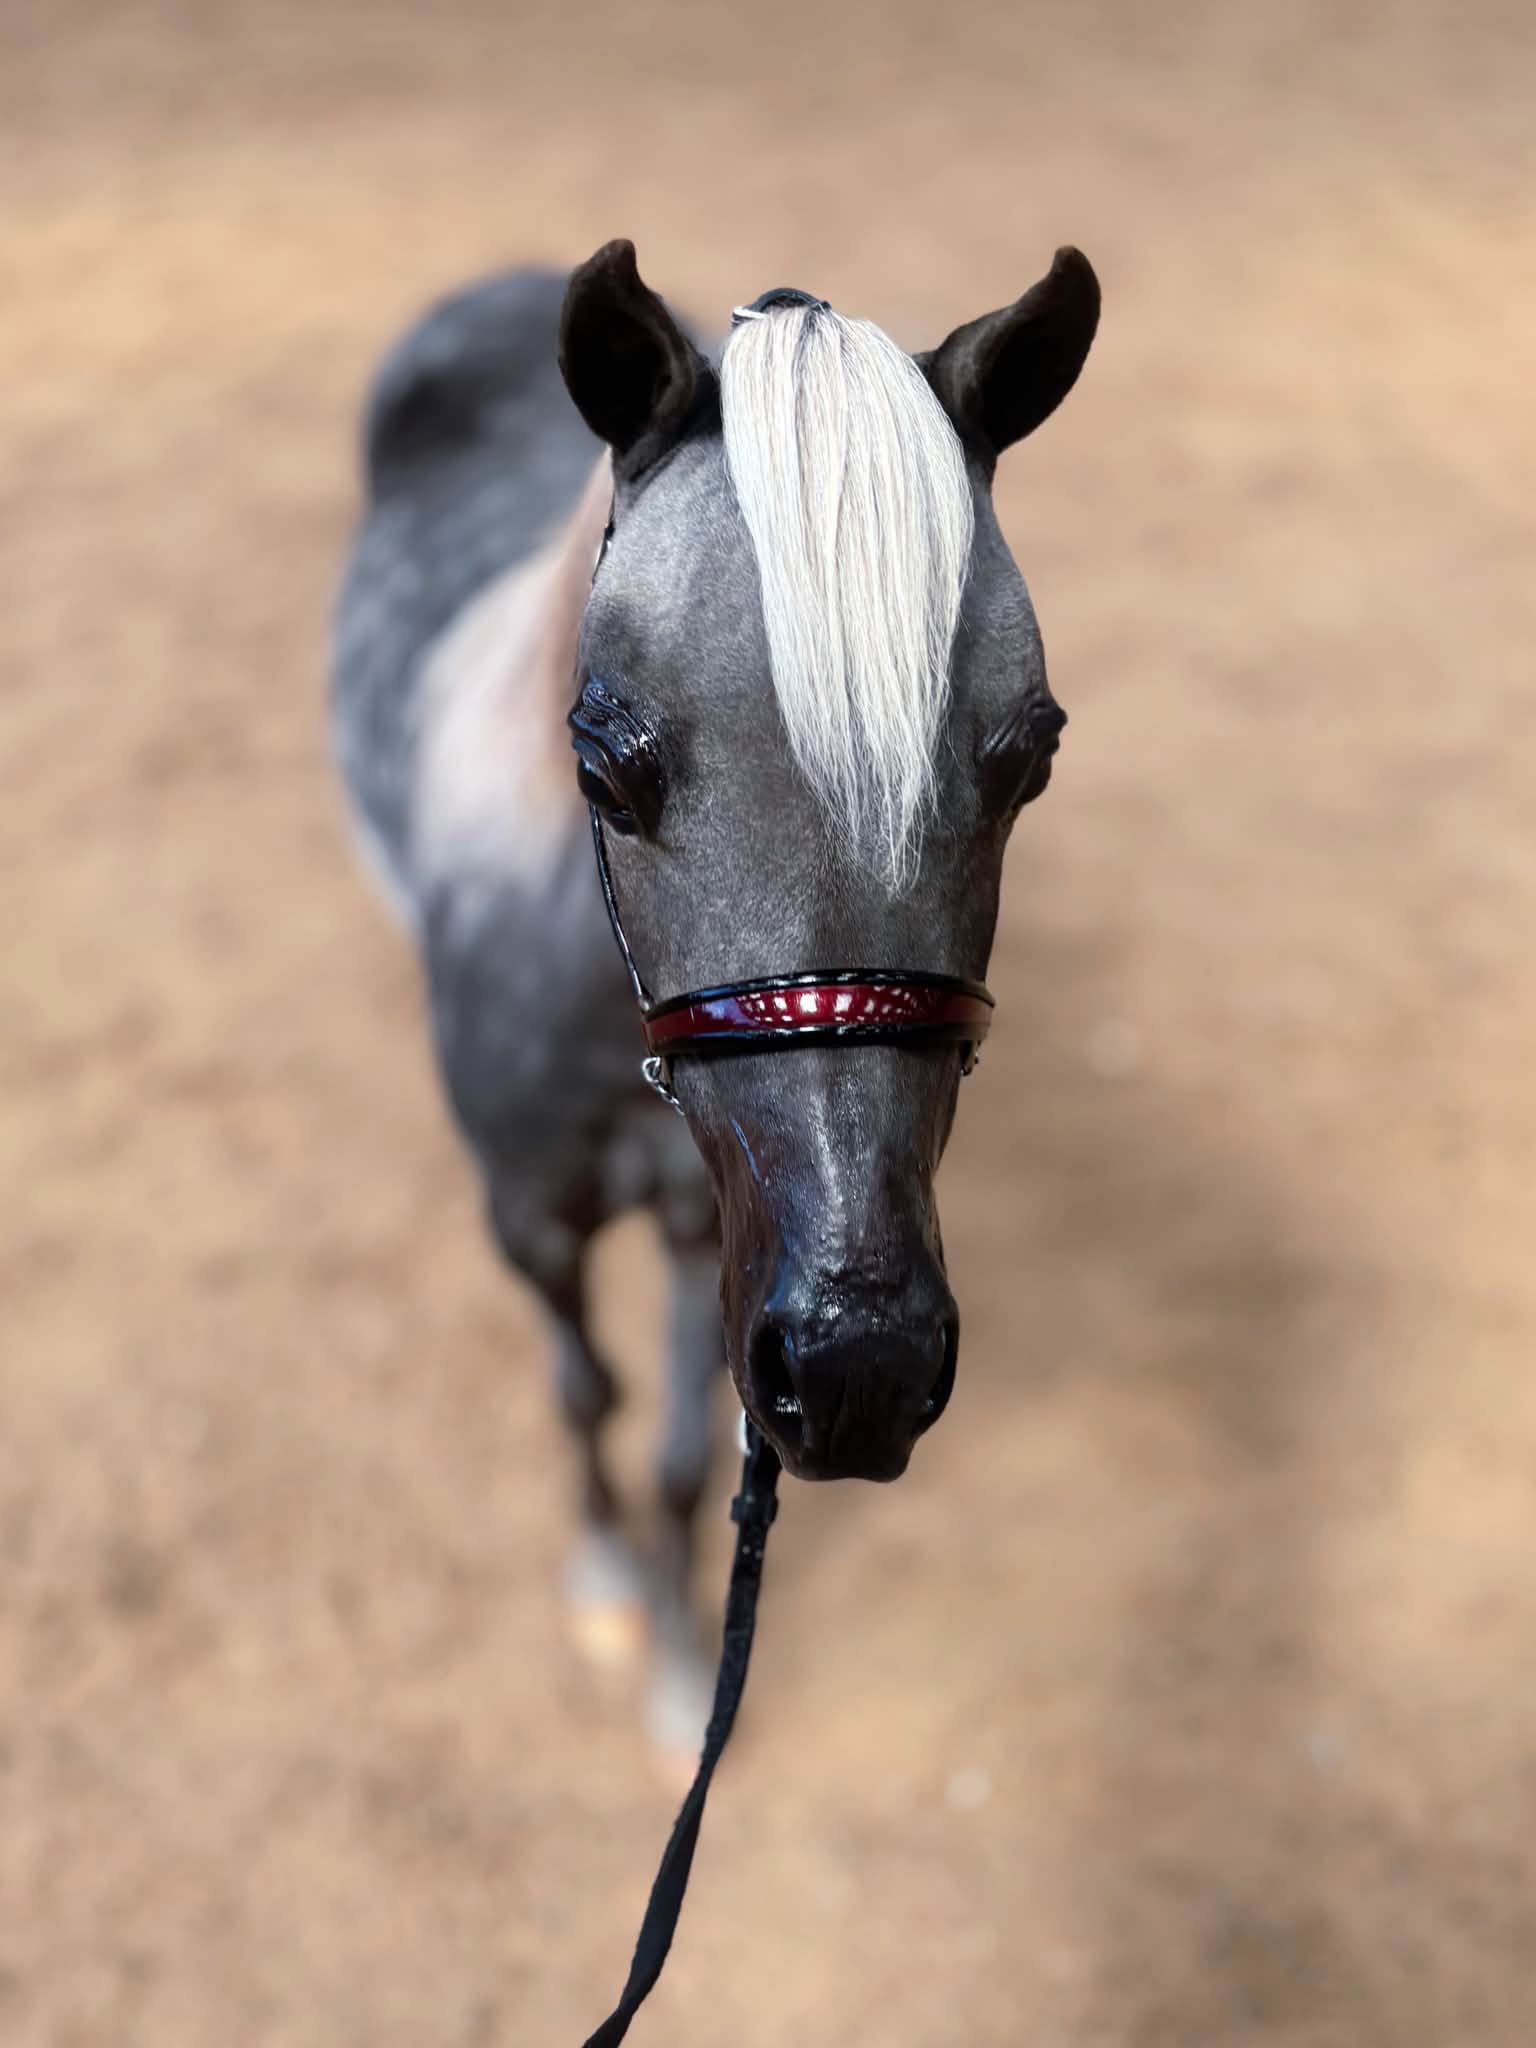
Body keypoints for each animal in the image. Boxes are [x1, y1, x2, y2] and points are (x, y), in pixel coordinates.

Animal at [331, 239, 1099, 1749]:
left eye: (1031, 756)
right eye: (597, 757)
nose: (863, 1365)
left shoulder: (717, 1225)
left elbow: (693, 1449)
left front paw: (687, 1665)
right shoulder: (533, 1223)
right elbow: (586, 1387)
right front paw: (603, 1574)